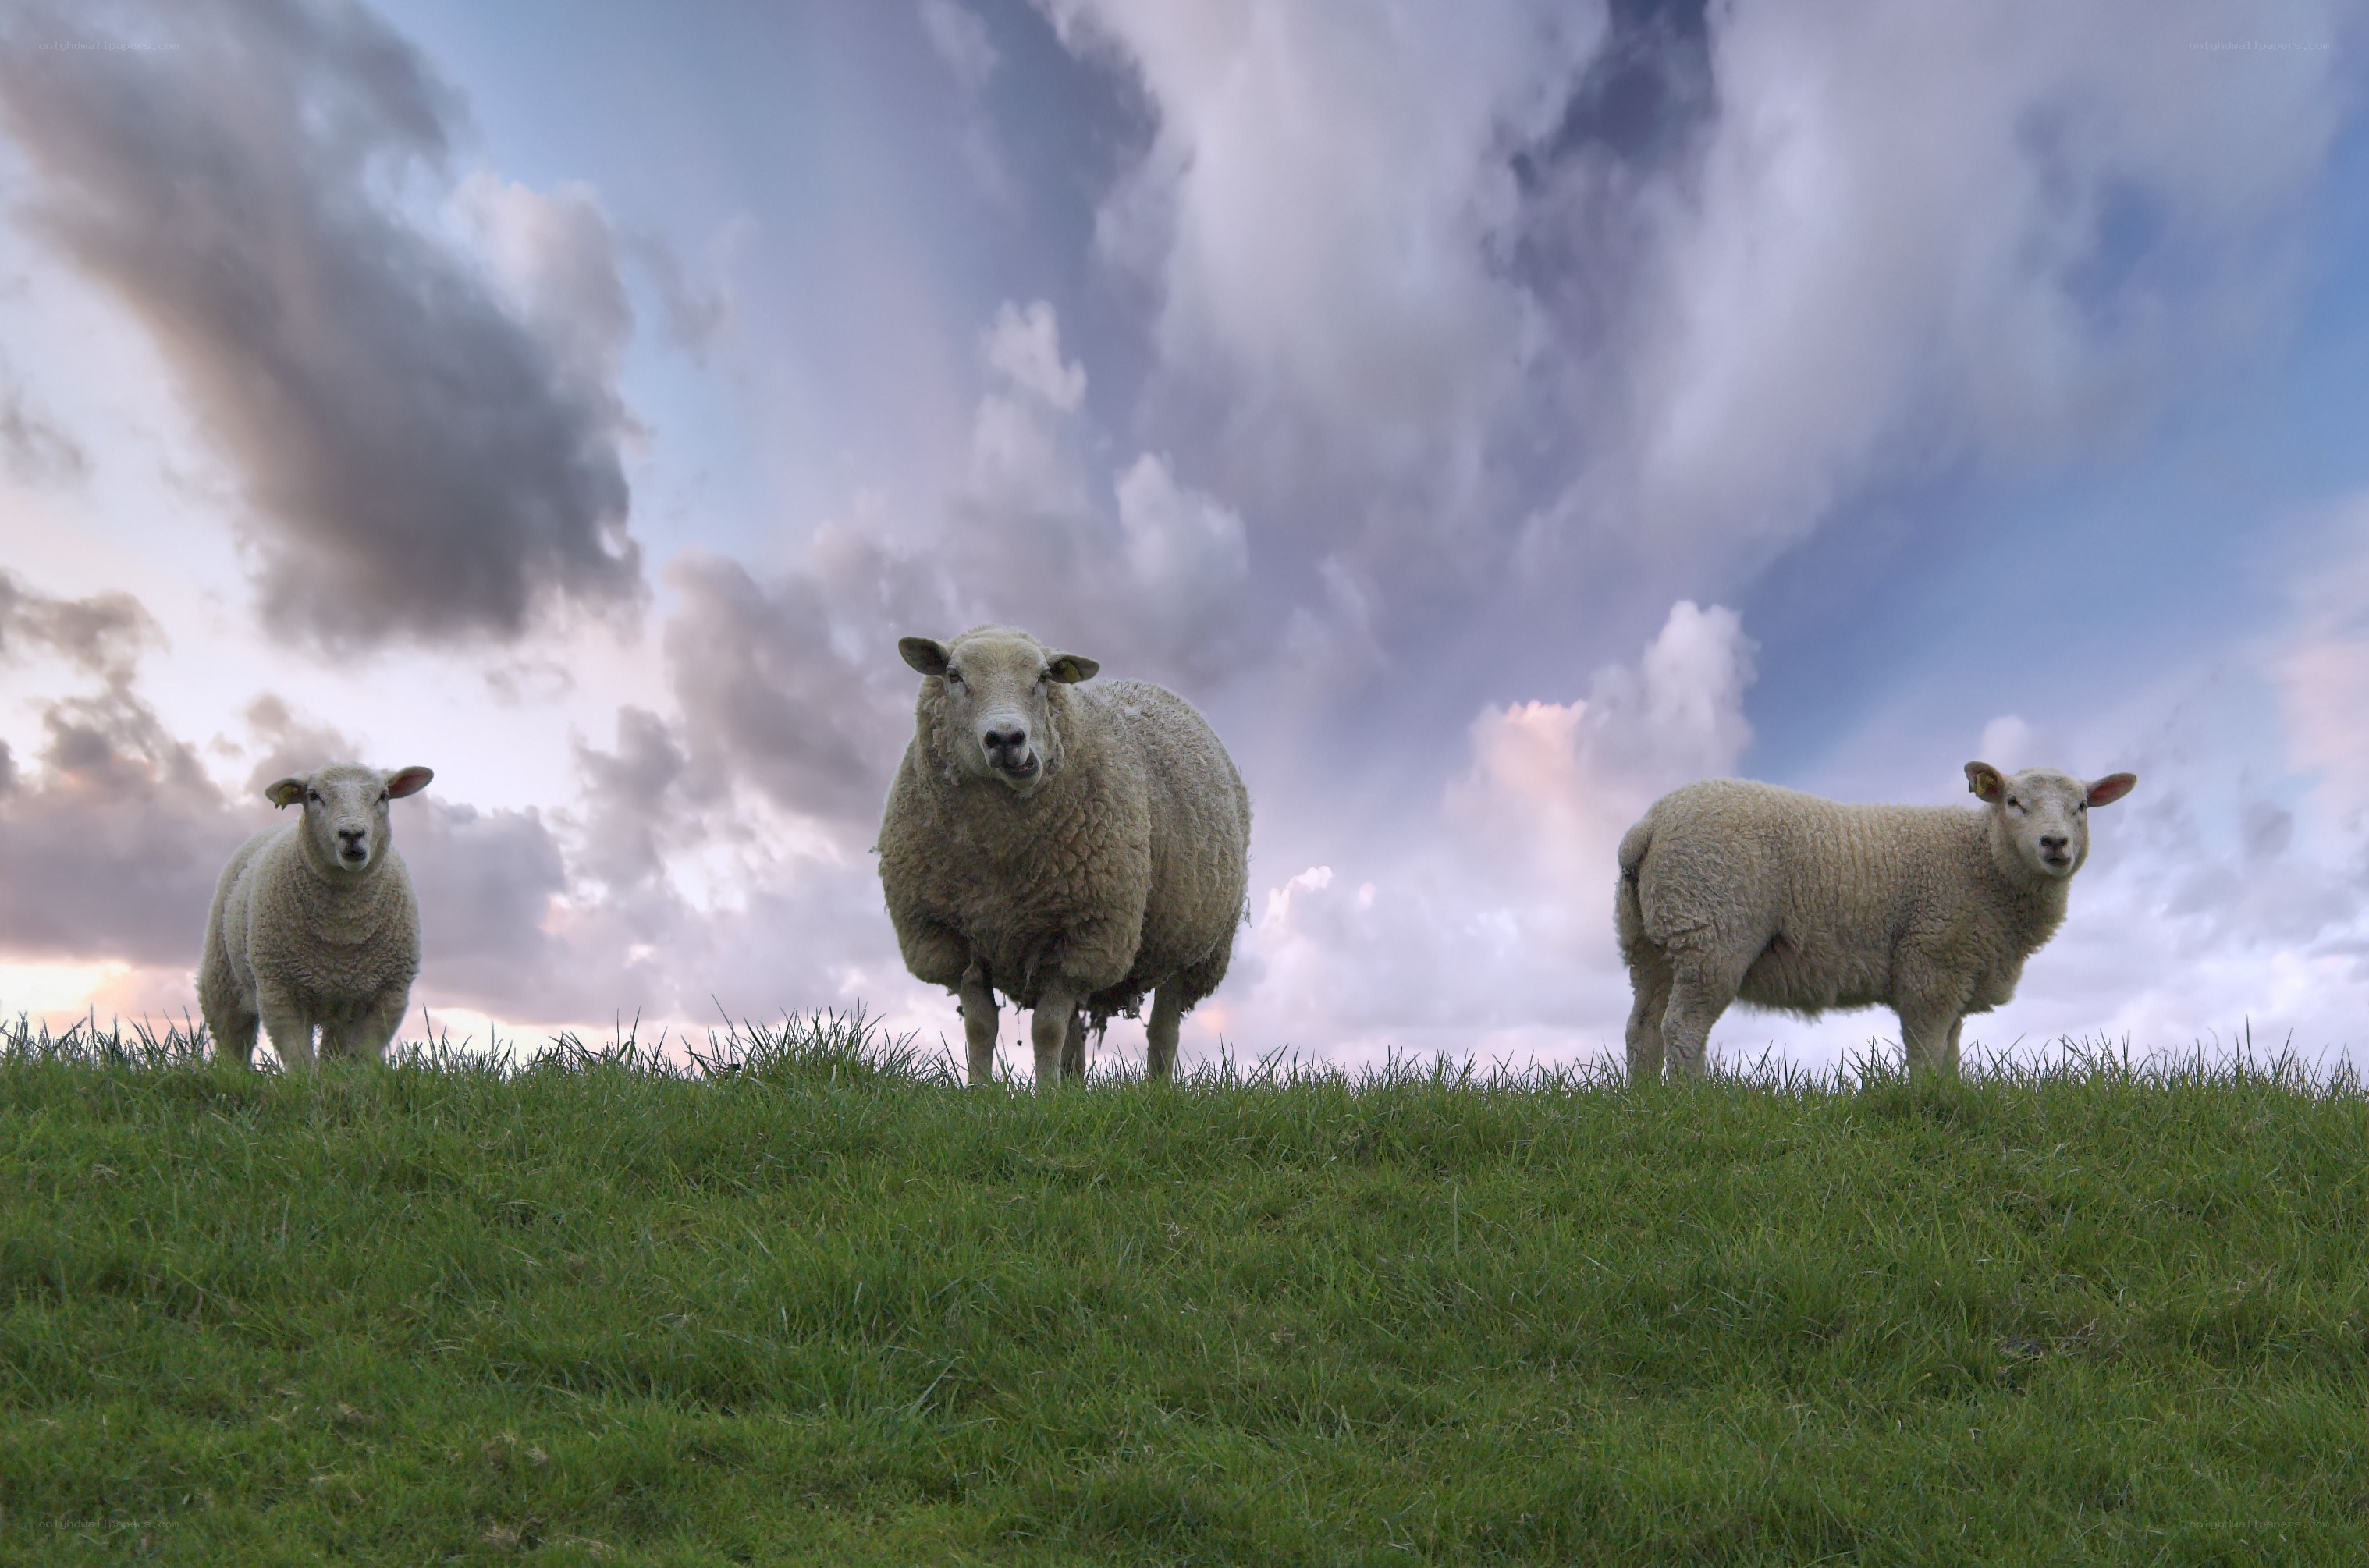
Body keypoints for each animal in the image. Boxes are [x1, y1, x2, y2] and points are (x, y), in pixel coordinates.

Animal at [198, 763, 435, 1070]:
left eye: (383, 796)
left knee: (333, 1049)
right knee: (231, 1033)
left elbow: (363, 1056)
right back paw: (233, 1072)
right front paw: (305, 1082)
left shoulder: (389, 995)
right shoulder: (278, 993)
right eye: (313, 796)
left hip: (343, 1003)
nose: (352, 834)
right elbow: (299, 1060)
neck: (343, 929)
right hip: (222, 974)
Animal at [877, 625, 1250, 1090]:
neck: (999, 855)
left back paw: (1156, 1090)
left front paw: (1044, 1096)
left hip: (1197, 949)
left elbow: (1046, 1029)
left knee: (1163, 1029)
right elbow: (981, 1027)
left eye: (1043, 678)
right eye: (953, 675)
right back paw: (1072, 1087)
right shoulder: (950, 937)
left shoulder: (1085, 935)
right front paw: (980, 1092)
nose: (1007, 740)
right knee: (1077, 1029)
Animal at [1615, 762, 2137, 1081]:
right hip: (1711, 930)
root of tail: (1650, 826)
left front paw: (1953, 1094)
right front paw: (1928, 1099)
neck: (1983, 860)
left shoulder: (1958, 970)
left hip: (1652, 939)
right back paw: (1695, 1099)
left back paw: (1646, 1102)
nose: (2055, 843)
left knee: (1642, 1029)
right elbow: (1926, 1049)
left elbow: (1950, 1052)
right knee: (1682, 1027)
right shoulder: (1930, 965)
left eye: (2082, 806)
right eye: (2012, 802)